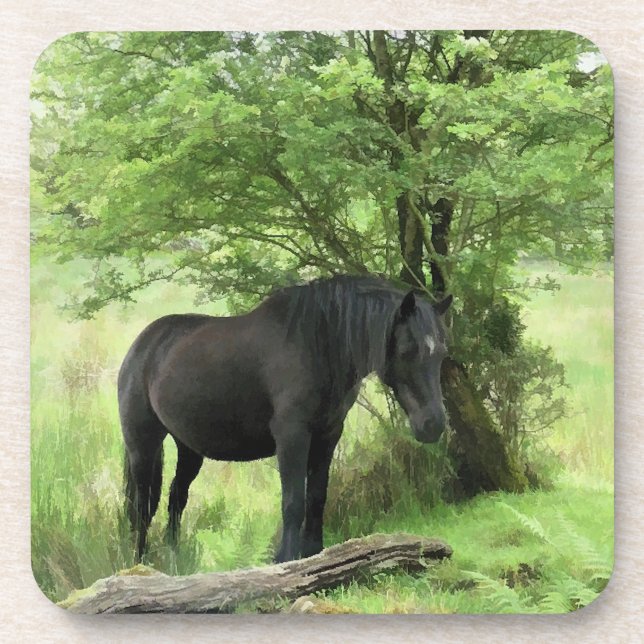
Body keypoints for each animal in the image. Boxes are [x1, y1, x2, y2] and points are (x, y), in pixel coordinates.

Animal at [119, 275, 452, 563]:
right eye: (408, 350)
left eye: (441, 353)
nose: (433, 425)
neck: (318, 345)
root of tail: (141, 345)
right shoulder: (292, 436)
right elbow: (293, 502)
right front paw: (286, 559)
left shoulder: (328, 435)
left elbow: (316, 498)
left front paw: (315, 554)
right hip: (143, 445)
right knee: (142, 507)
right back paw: (140, 563)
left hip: (189, 448)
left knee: (176, 499)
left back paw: (174, 561)